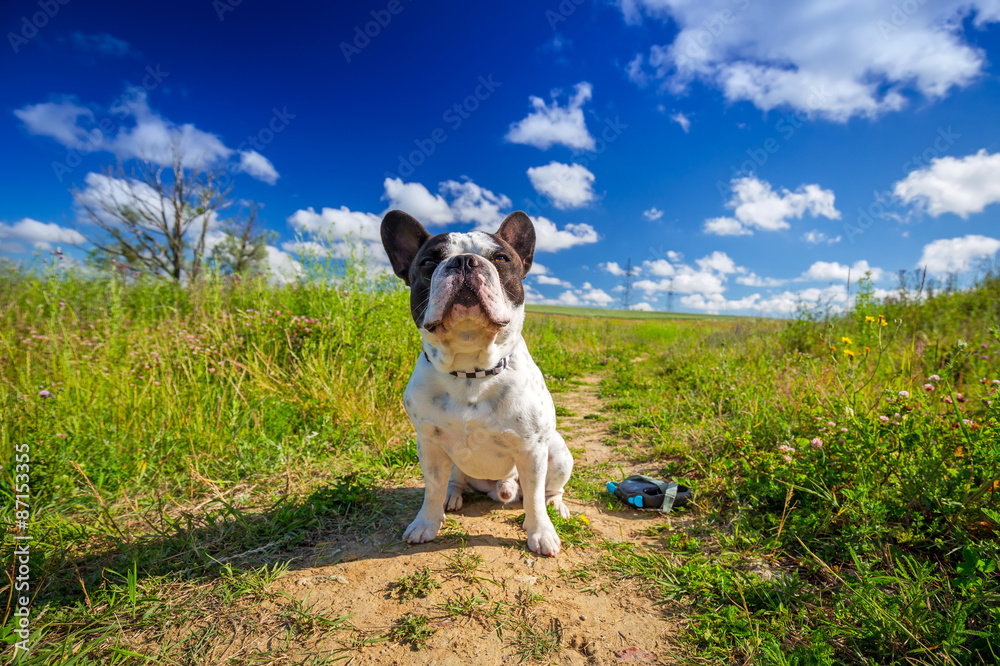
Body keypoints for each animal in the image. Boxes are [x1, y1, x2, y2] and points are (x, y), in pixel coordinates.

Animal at [380, 210, 572, 552]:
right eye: (428, 262)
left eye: (501, 258)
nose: (464, 261)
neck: (470, 371)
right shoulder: (429, 445)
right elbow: (431, 488)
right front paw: (426, 523)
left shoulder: (533, 450)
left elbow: (534, 498)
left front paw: (541, 533)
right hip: (453, 460)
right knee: (453, 480)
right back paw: (452, 496)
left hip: (558, 451)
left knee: (549, 490)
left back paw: (556, 506)